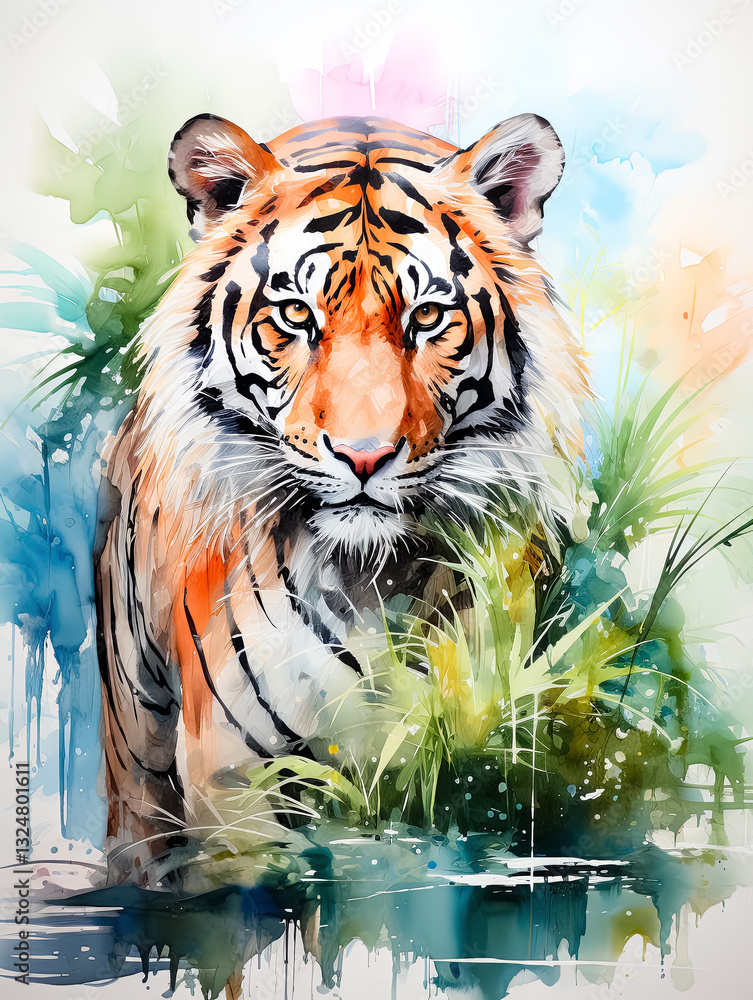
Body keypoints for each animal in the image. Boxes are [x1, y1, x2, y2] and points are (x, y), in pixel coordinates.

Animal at [95, 112, 590, 883]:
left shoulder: (485, 752)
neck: (371, 582)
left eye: (427, 317)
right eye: (295, 315)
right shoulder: (235, 780)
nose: (363, 455)